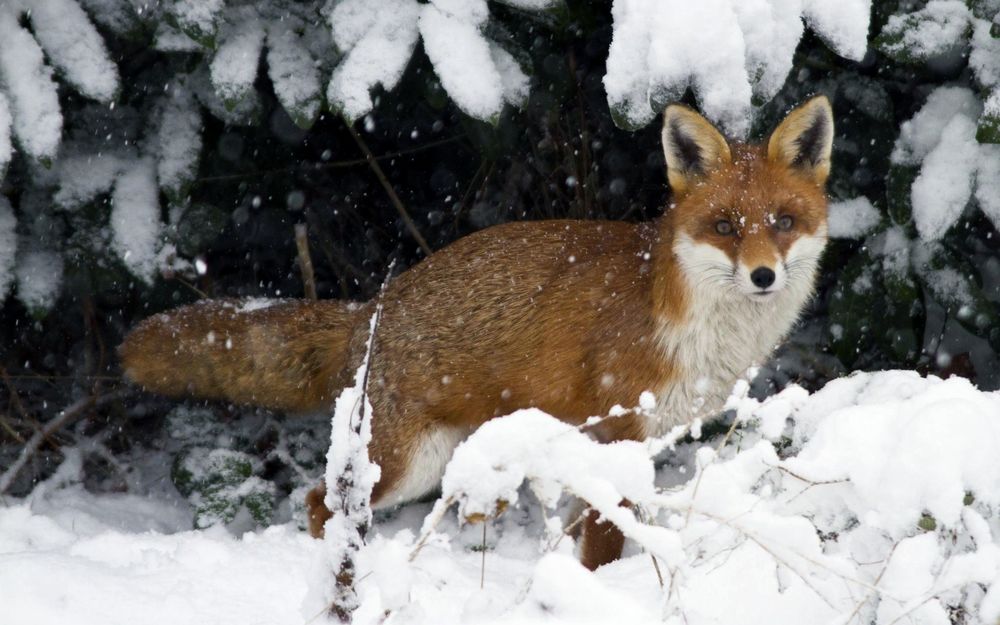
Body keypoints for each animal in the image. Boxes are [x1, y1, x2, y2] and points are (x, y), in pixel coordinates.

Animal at [120, 96, 833, 570]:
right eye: (726, 226)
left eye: (783, 220)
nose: (764, 276)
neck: (695, 326)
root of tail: (374, 306)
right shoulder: (614, 432)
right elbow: (603, 541)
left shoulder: (634, 443)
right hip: (407, 463)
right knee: (320, 500)